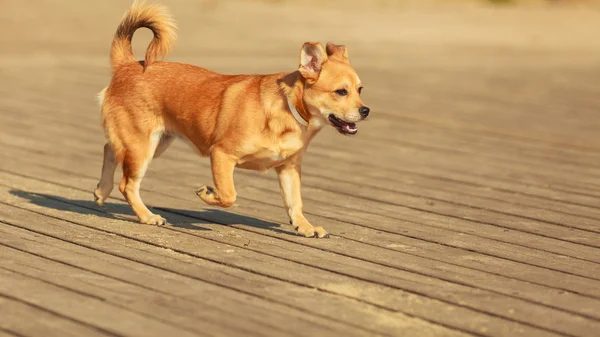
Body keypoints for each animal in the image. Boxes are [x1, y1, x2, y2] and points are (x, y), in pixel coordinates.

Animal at [92, 0, 370, 238]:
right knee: (128, 184)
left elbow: (294, 202)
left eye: (360, 90)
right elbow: (229, 195)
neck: (287, 111)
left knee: (109, 149)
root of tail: (128, 65)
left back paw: (102, 190)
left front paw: (304, 226)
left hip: (156, 143)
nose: (366, 111)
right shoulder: (221, 155)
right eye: (341, 92)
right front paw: (208, 195)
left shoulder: (289, 168)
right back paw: (147, 216)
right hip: (142, 146)